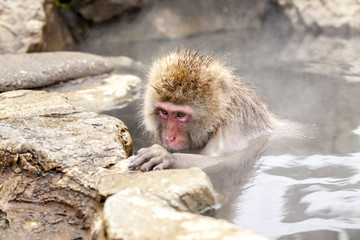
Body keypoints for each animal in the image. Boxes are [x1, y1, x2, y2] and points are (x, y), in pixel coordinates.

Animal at [128, 48, 274, 171]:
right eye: (164, 112)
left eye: (180, 115)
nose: (169, 137)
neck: (221, 114)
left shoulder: (230, 130)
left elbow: (226, 160)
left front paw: (168, 157)